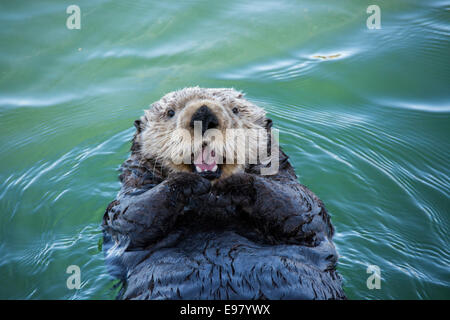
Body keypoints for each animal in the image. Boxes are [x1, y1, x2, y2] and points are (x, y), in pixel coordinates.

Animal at [102, 86, 346, 298]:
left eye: (236, 110)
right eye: (170, 112)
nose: (203, 114)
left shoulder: (298, 199)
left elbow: (302, 209)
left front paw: (232, 184)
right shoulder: (133, 189)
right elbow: (129, 217)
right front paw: (189, 181)